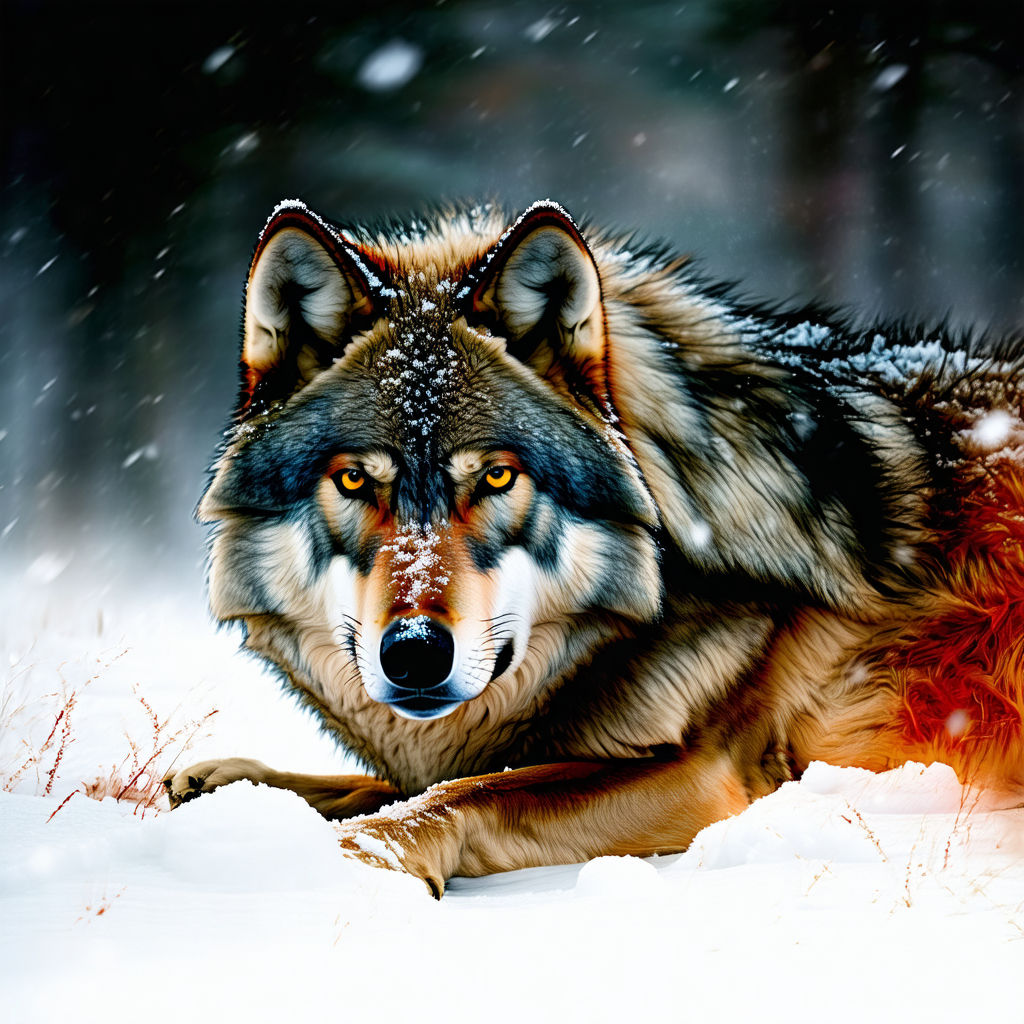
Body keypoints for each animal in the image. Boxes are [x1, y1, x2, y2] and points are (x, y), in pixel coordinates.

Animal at [164, 198, 1024, 896]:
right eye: (352, 479)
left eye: (497, 476)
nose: (413, 653)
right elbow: (374, 781)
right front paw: (215, 784)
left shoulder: (705, 772)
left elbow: (457, 793)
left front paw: (361, 857)